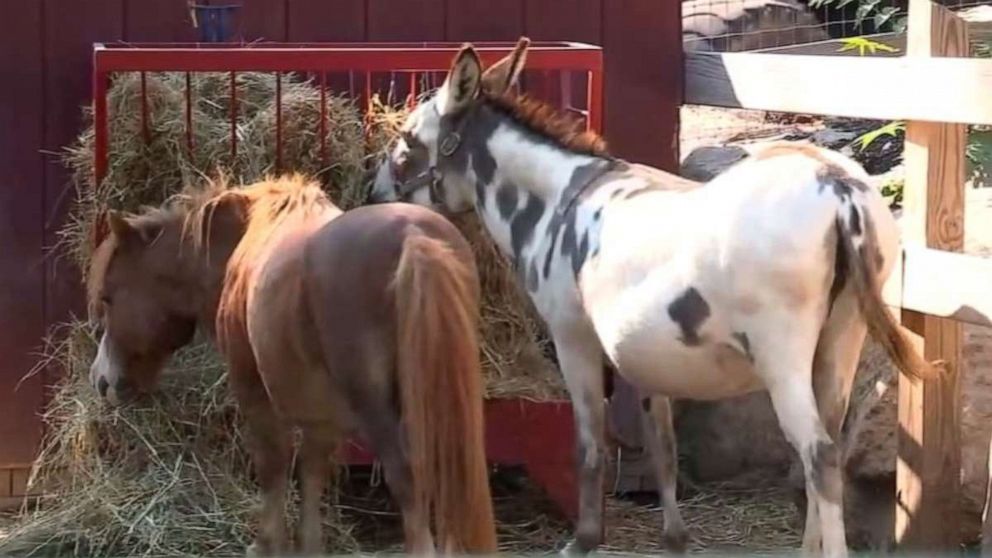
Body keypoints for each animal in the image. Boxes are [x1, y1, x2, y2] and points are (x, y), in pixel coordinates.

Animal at [86, 175, 496, 556]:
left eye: (107, 297)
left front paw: (266, 544)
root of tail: (413, 238)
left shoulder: (254, 393)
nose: (101, 380)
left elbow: (274, 465)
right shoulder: (322, 416)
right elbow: (311, 473)